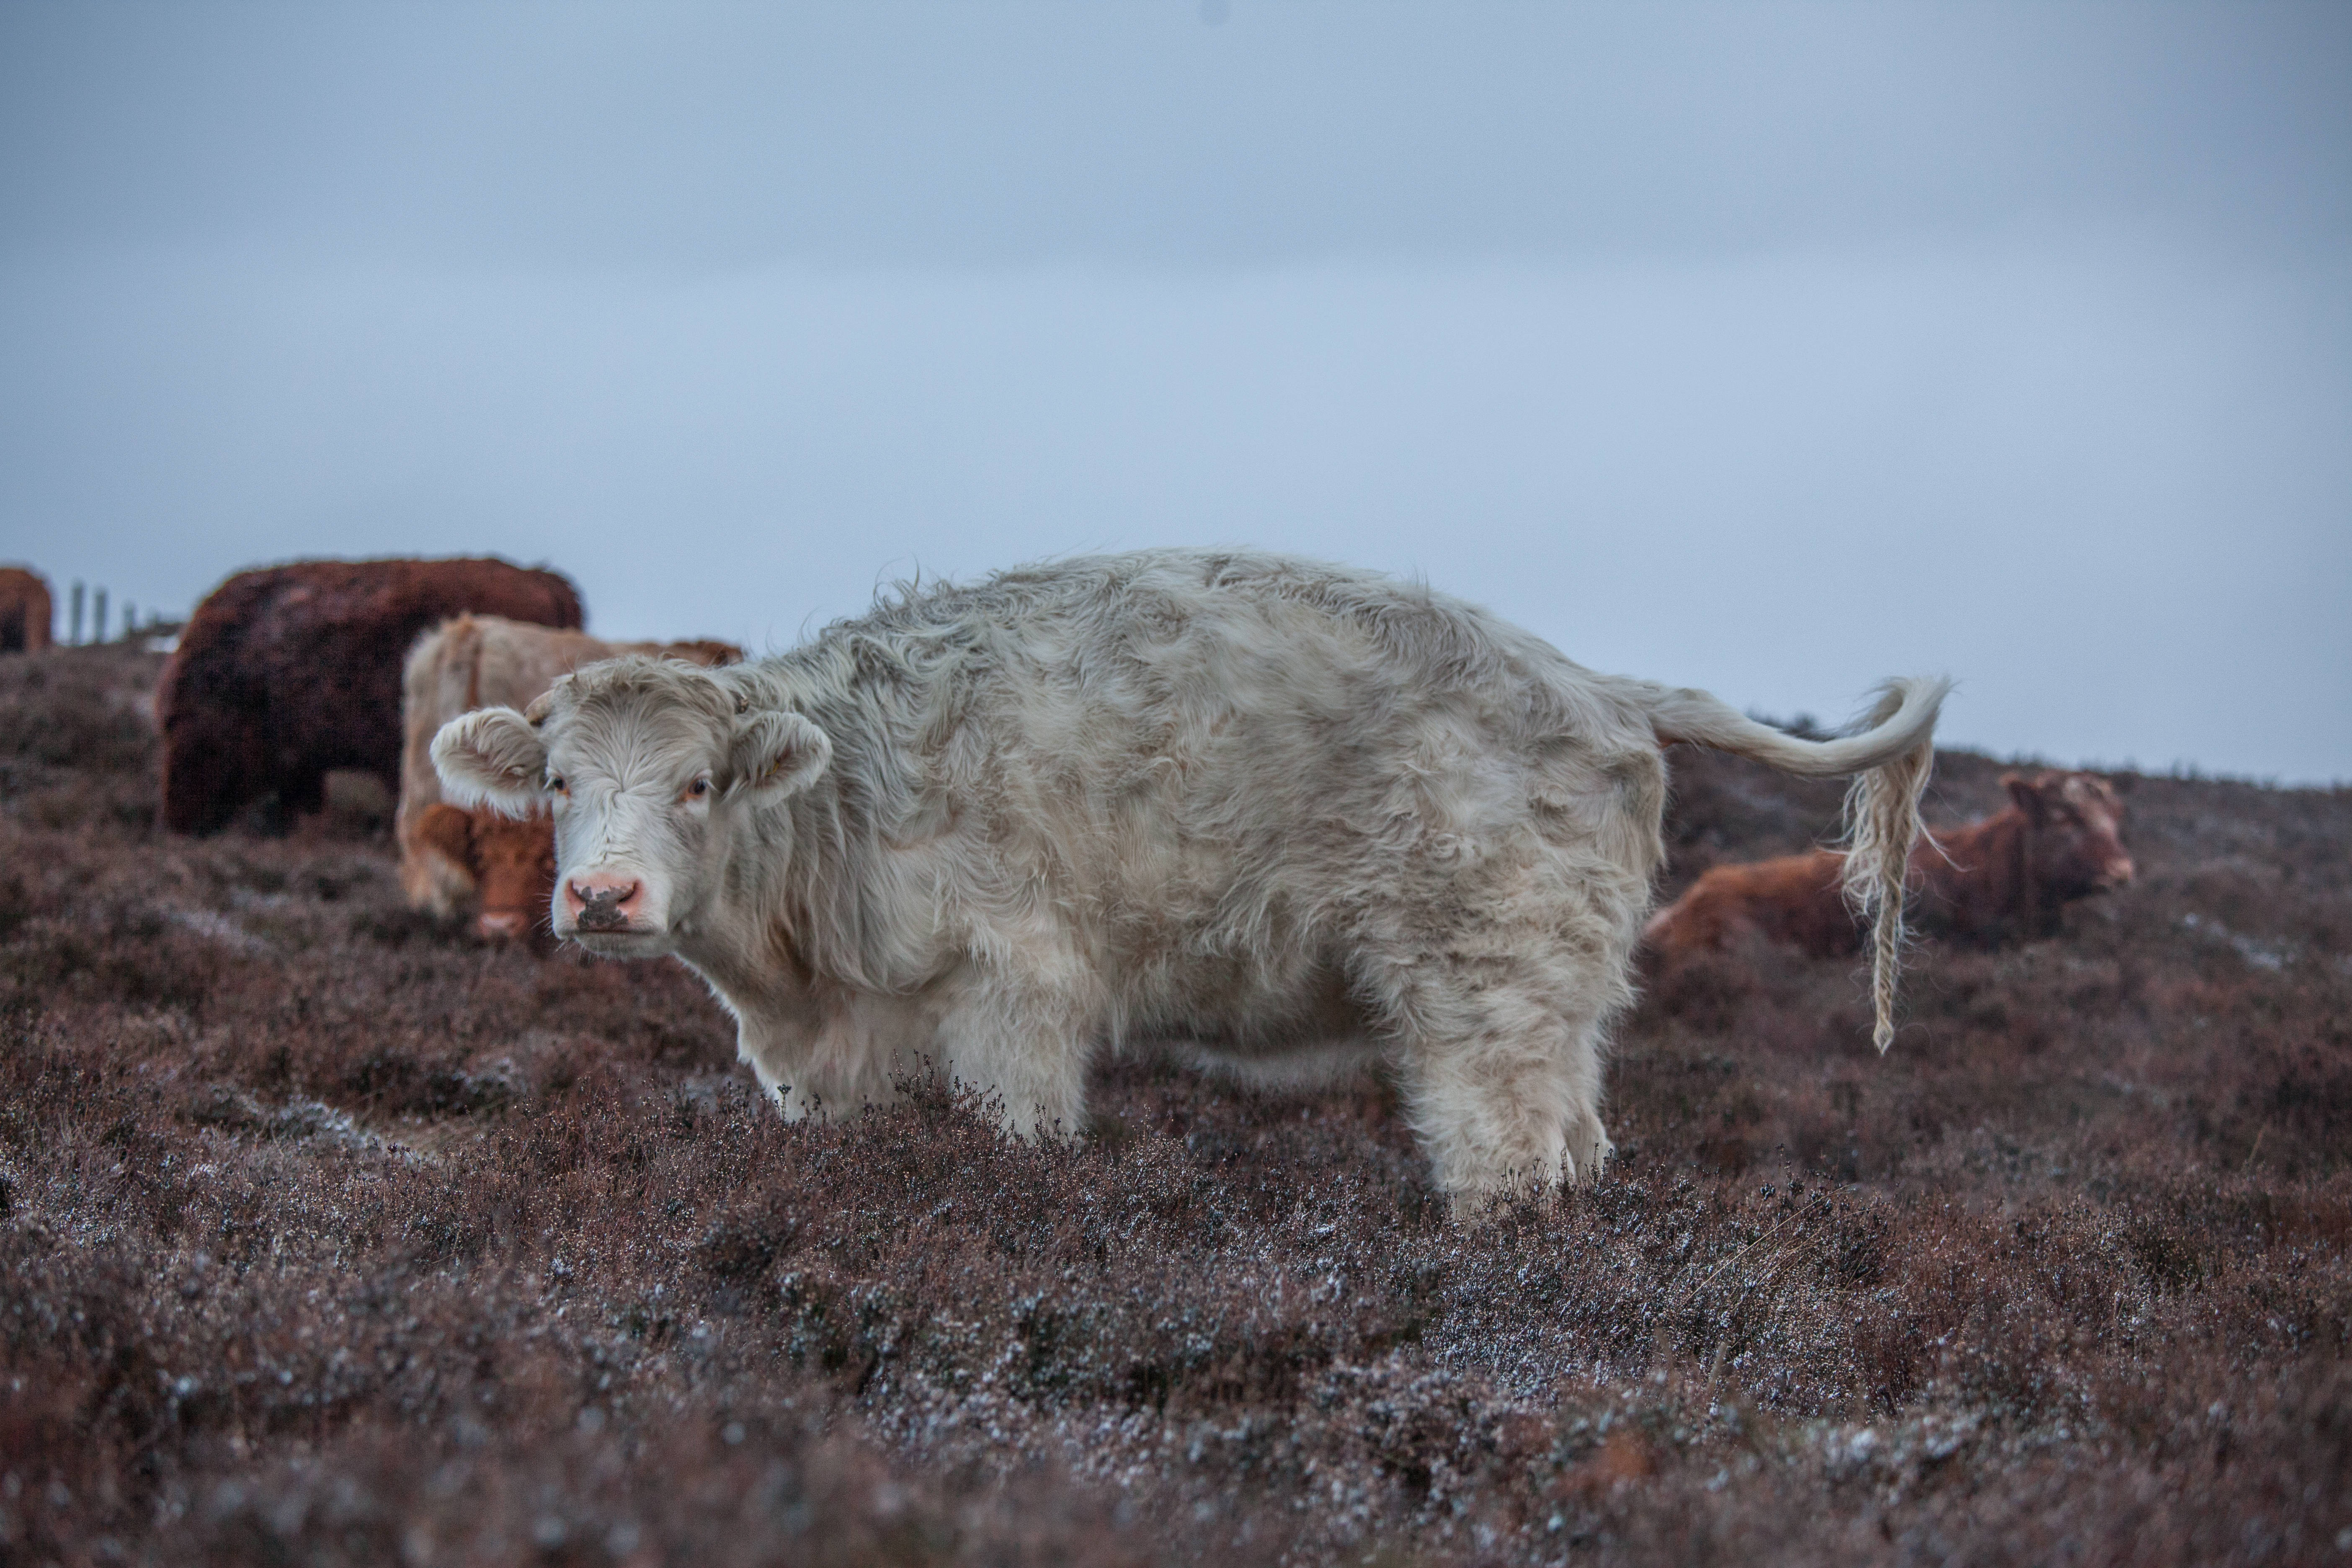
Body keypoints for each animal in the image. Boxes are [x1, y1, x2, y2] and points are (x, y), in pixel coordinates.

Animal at [434, 549, 1947, 1206]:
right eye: (557, 784)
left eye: (695, 785)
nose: (603, 900)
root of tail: (1597, 684)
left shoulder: (1018, 997)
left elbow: (1023, 1141)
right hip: (1556, 1009)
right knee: (1574, 1148)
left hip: (1489, 992)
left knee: (1509, 1155)